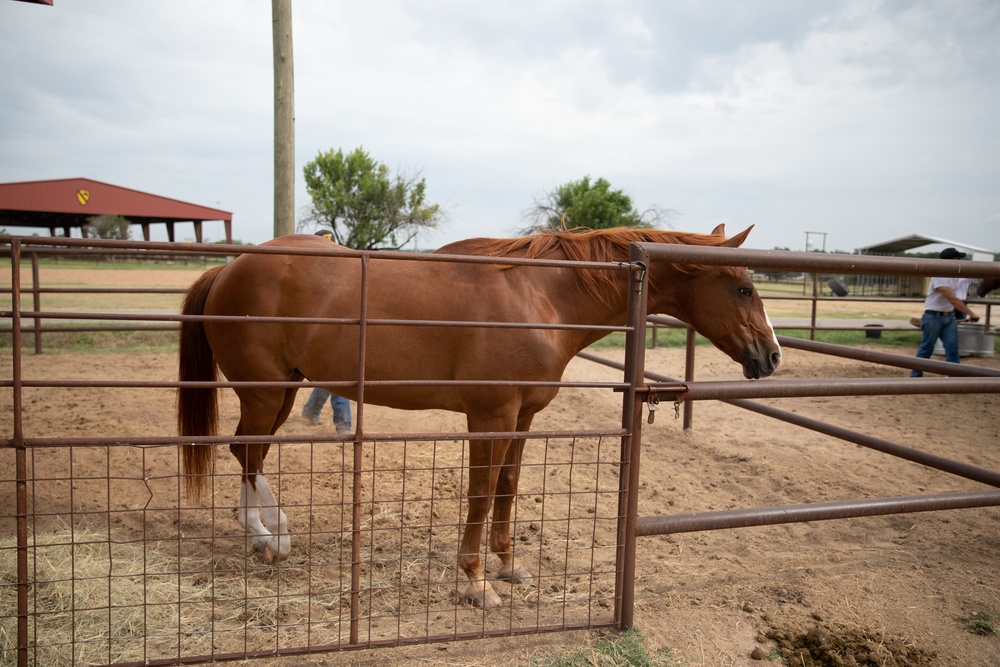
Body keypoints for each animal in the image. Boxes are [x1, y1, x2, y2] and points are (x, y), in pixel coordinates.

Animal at [178, 223, 780, 604]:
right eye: (744, 288)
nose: (771, 357)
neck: (541, 298)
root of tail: (229, 268)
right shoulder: (490, 415)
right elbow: (482, 492)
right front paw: (474, 581)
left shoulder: (523, 417)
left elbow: (509, 487)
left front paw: (508, 566)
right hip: (263, 392)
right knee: (248, 451)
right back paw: (270, 535)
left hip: (281, 391)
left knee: (247, 451)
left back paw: (260, 534)